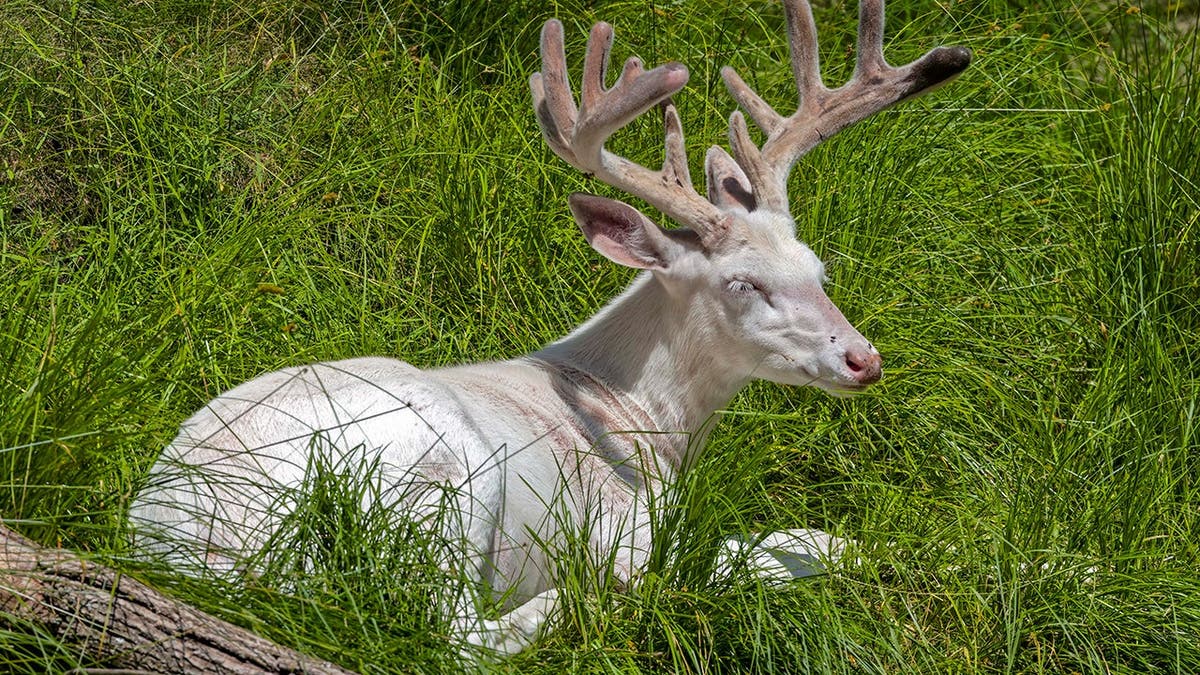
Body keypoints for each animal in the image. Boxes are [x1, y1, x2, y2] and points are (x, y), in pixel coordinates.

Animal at [129, 0, 970, 657]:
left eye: (817, 268)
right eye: (744, 283)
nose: (863, 359)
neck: (647, 417)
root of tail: (190, 547)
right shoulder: (627, 522)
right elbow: (777, 545)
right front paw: (920, 552)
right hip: (436, 480)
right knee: (453, 633)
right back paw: (584, 599)